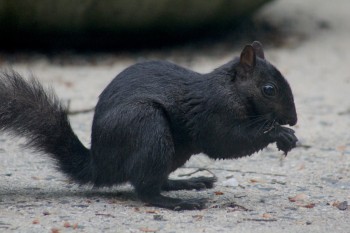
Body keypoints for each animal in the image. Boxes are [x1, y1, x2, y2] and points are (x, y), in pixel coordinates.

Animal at [0, 41, 298, 210]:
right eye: (269, 89)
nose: (293, 119)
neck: (231, 89)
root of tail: (99, 164)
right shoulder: (214, 112)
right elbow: (226, 142)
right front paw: (280, 133)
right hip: (147, 126)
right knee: (146, 189)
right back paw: (179, 203)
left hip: (173, 150)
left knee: (157, 180)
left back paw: (189, 182)